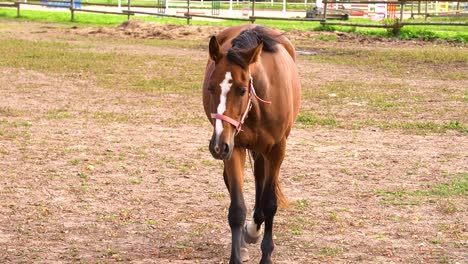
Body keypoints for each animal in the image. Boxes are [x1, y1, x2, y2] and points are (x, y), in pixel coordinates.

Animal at [201, 24, 300, 262]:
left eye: (242, 89)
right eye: (210, 88)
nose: (217, 146)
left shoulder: (277, 150)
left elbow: (270, 203)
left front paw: (266, 255)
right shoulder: (233, 147)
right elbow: (237, 209)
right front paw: (237, 253)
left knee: (260, 181)